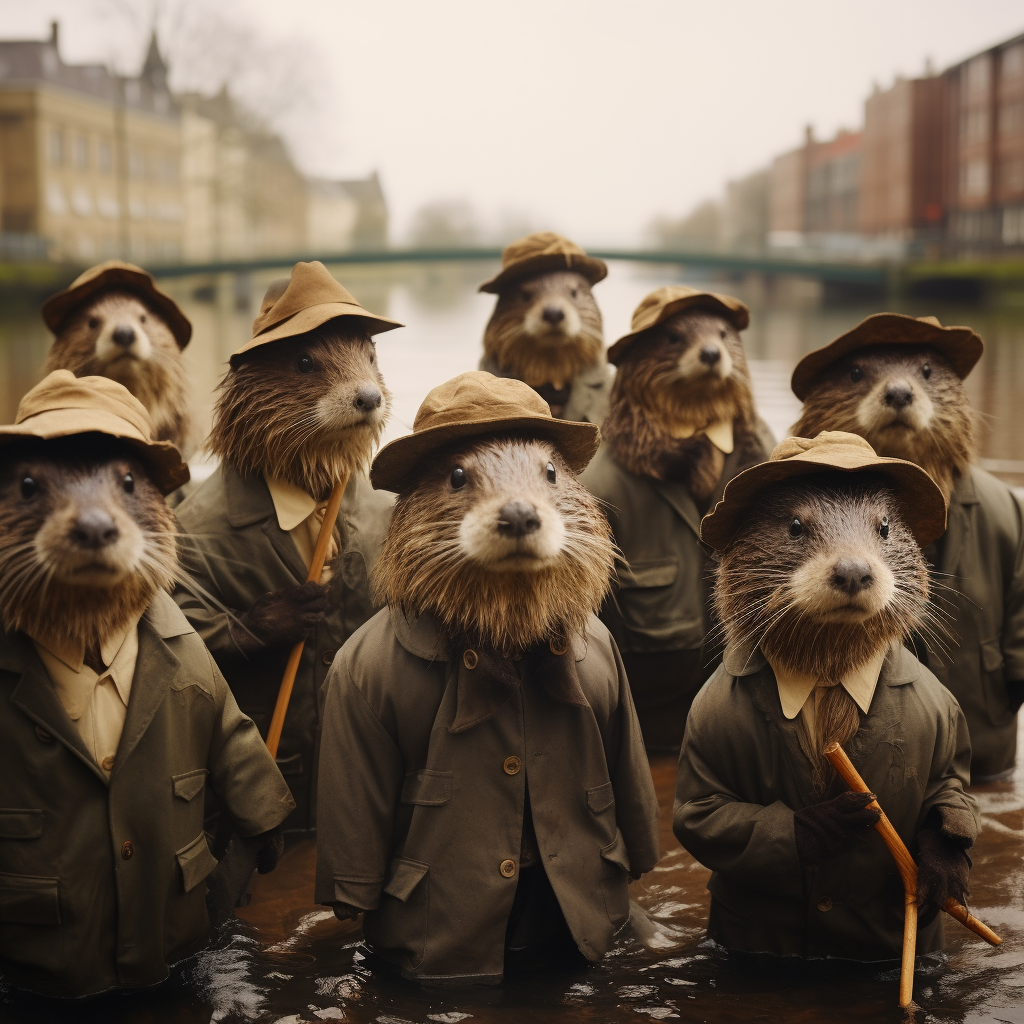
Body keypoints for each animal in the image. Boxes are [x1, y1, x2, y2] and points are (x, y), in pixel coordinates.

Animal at [671, 430, 974, 958]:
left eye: (885, 527)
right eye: (795, 524)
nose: (853, 570)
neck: (829, 682)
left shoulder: (947, 721)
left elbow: (951, 789)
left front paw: (942, 866)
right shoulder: (704, 726)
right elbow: (705, 813)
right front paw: (824, 824)